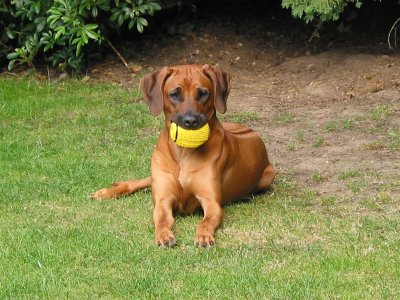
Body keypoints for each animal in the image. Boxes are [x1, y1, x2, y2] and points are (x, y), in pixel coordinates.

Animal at [93, 64, 276, 247]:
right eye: (174, 94)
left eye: (203, 93)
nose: (191, 121)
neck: (183, 153)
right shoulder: (163, 199)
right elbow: (161, 218)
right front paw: (164, 235)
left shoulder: (211, 202)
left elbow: (206, 221)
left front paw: (203, 235)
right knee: (140, 181)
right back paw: (107, 192)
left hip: (268, 176)